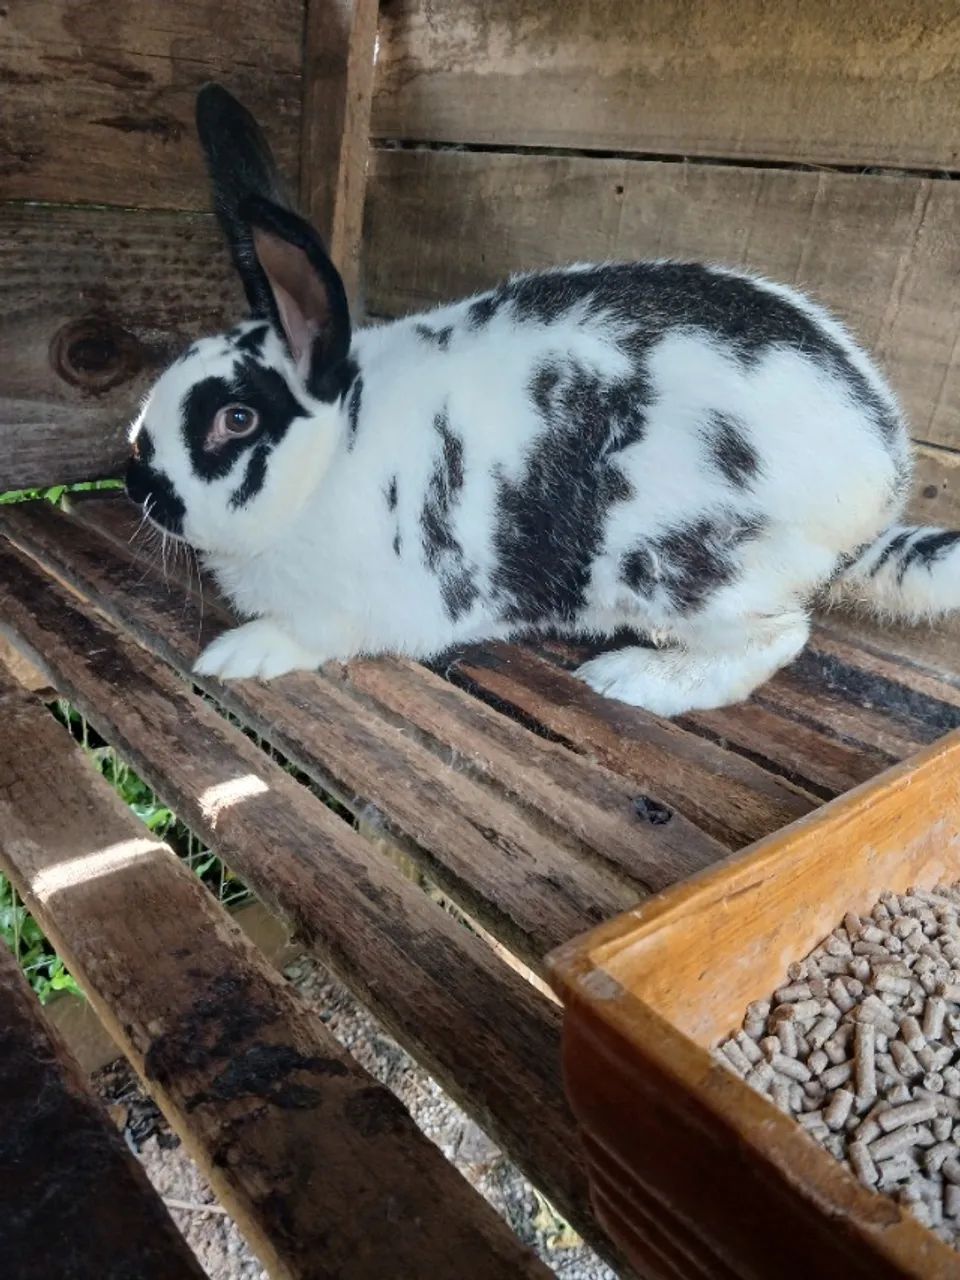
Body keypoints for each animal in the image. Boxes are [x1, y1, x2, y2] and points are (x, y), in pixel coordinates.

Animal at [124, 84, 960, 718]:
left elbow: (309, 636)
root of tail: (877, 482)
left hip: (688, 570)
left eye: (236, 419)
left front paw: (239, 653)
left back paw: (631, 680)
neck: (331, 456)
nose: (136, 479)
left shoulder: (353, 607)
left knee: (777, 638)